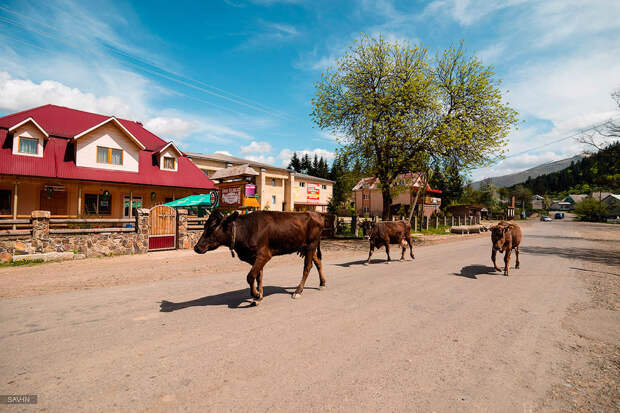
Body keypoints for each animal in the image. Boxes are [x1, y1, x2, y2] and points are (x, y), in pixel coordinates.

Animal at [195, 209, 326, 302]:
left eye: (212, 228)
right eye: (205, 226)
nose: (196, 247)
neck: (246, 230)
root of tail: (316, 214)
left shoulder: (264, 255)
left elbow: (250, 276)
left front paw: (256, 294)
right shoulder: (254, 258)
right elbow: (259, 276)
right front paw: (259, 295)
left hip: (311, 245)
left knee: (307, 267)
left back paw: (298, 291)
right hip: (306, 247)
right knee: (318, 262)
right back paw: (322, 283)